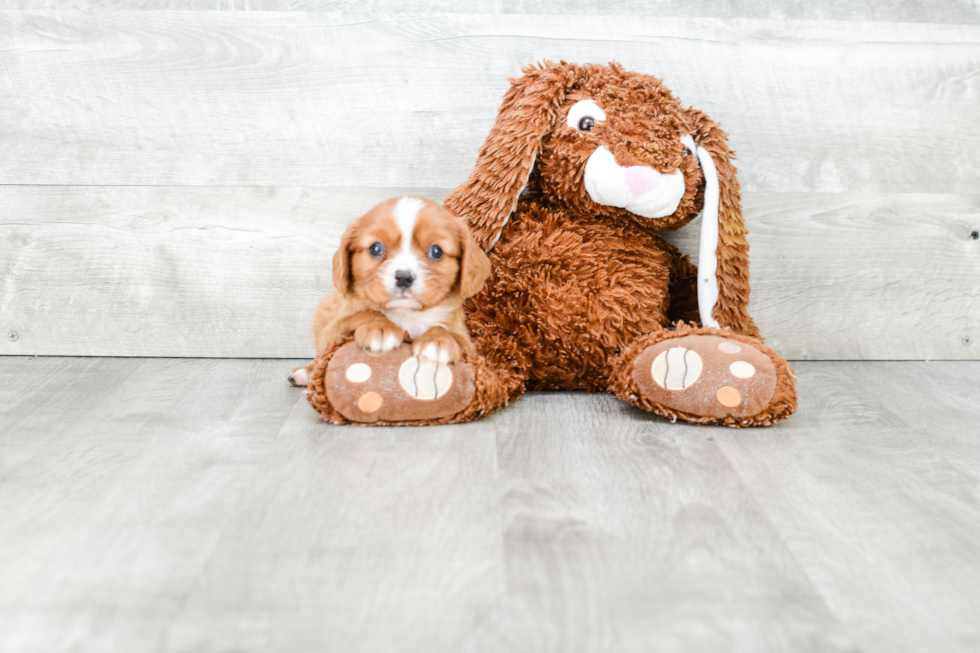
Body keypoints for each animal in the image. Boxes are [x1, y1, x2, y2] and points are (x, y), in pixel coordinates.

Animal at [290, 196, 490, 384]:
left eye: (436, 251)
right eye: (375, 248)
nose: (404, 277)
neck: (406, 313)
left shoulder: (468, 344)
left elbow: (448, 332)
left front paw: (438, 340)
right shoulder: (333, 329)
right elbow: (364, 313)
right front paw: (380, 327)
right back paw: (305, 372)